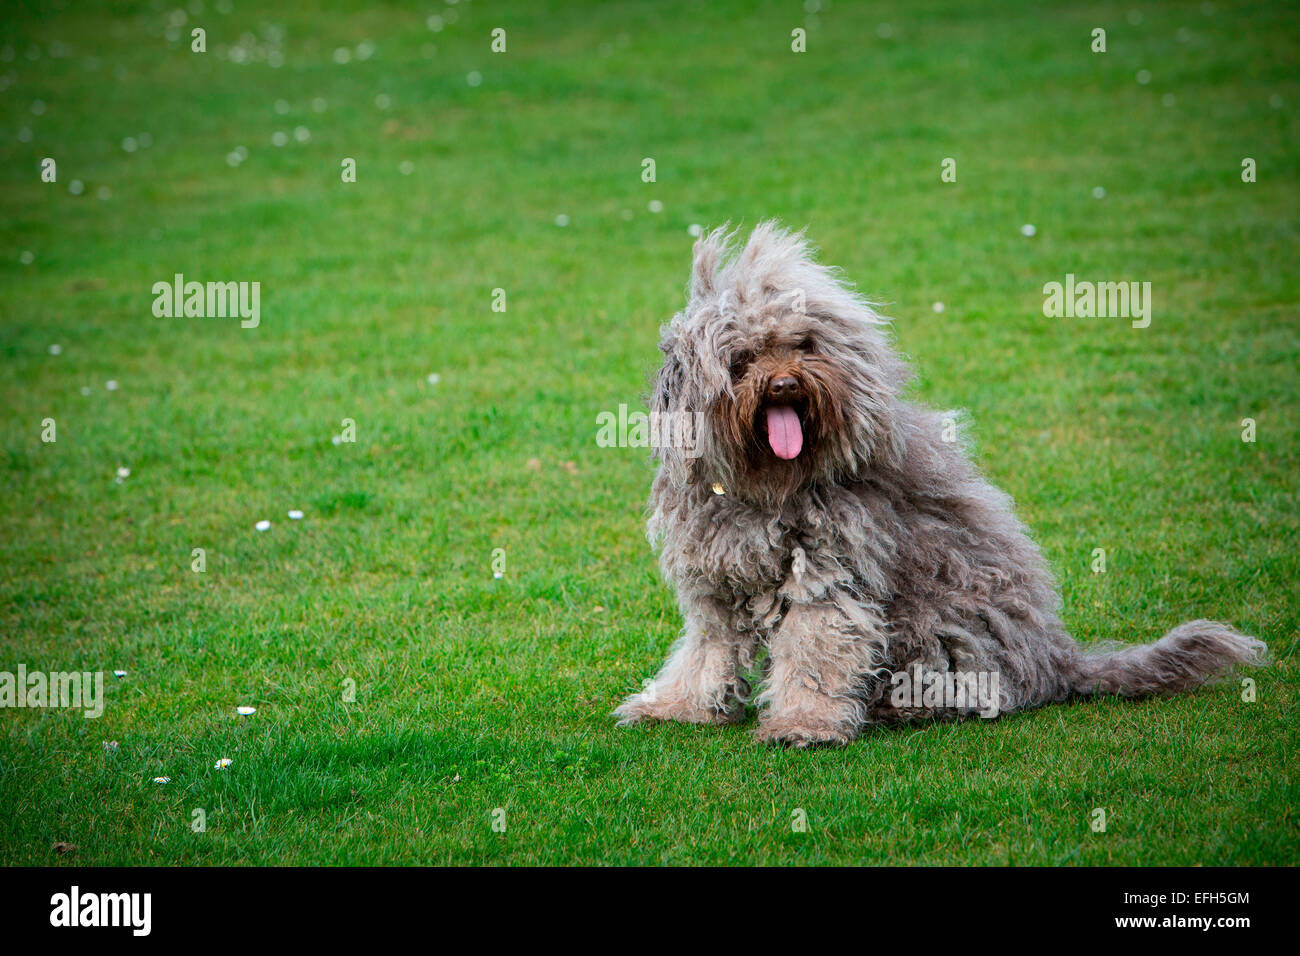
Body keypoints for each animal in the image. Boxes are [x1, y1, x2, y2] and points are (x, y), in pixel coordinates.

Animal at [613, 222, 1263, 749]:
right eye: (743, 358)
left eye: (803, 344)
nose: (783, 384)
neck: (767, 487)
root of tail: (1061, 661)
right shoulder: (716, 585)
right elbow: (706, 652)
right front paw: (676, 705)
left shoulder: (829, 580)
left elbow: (814, 655)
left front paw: (804, 725)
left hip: (941, 633)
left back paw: (897, 709)